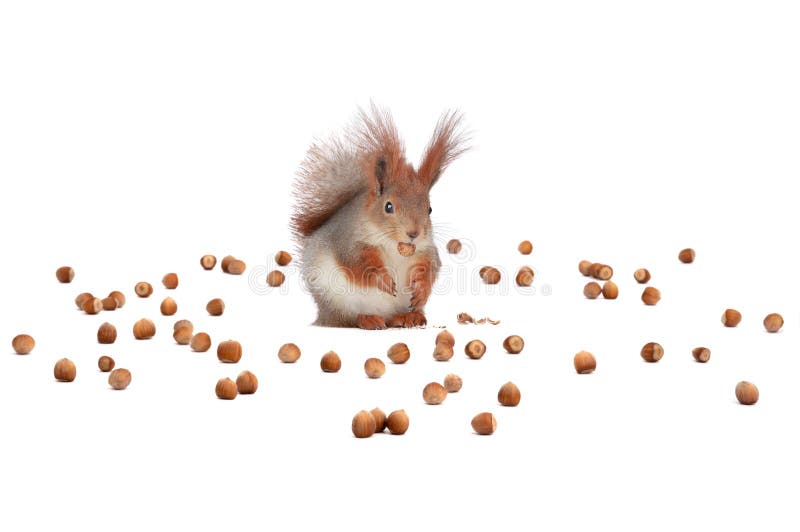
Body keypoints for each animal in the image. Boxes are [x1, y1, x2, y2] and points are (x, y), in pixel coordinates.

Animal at [291, 105, 469, 329]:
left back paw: (410, 316)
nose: (414, 234)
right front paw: (383, 280)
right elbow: (359, 263)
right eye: (388, 206)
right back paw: (367, 319)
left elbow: (430, 266)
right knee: (346, 319)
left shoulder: (426, 248)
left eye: (429, 209)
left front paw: (421, 289)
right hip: (334, 298)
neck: (394, 245)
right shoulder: (348, 240)